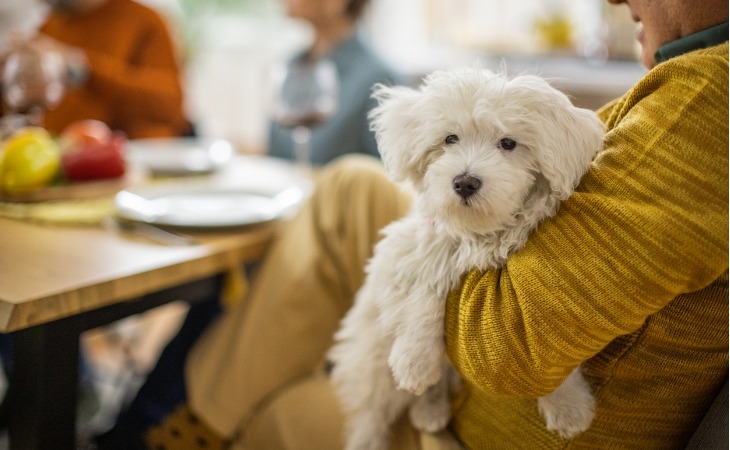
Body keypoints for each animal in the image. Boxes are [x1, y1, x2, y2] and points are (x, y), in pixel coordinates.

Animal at [328, 67, 604, 450]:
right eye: (450, 139)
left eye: (508, 143)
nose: (465, 182)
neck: (480, 232)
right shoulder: (410, 246)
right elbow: (428, 283)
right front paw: (415, 360)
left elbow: (540, 350)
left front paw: (569, 405)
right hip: (371, 359)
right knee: (371, 414)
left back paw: (429, 410)